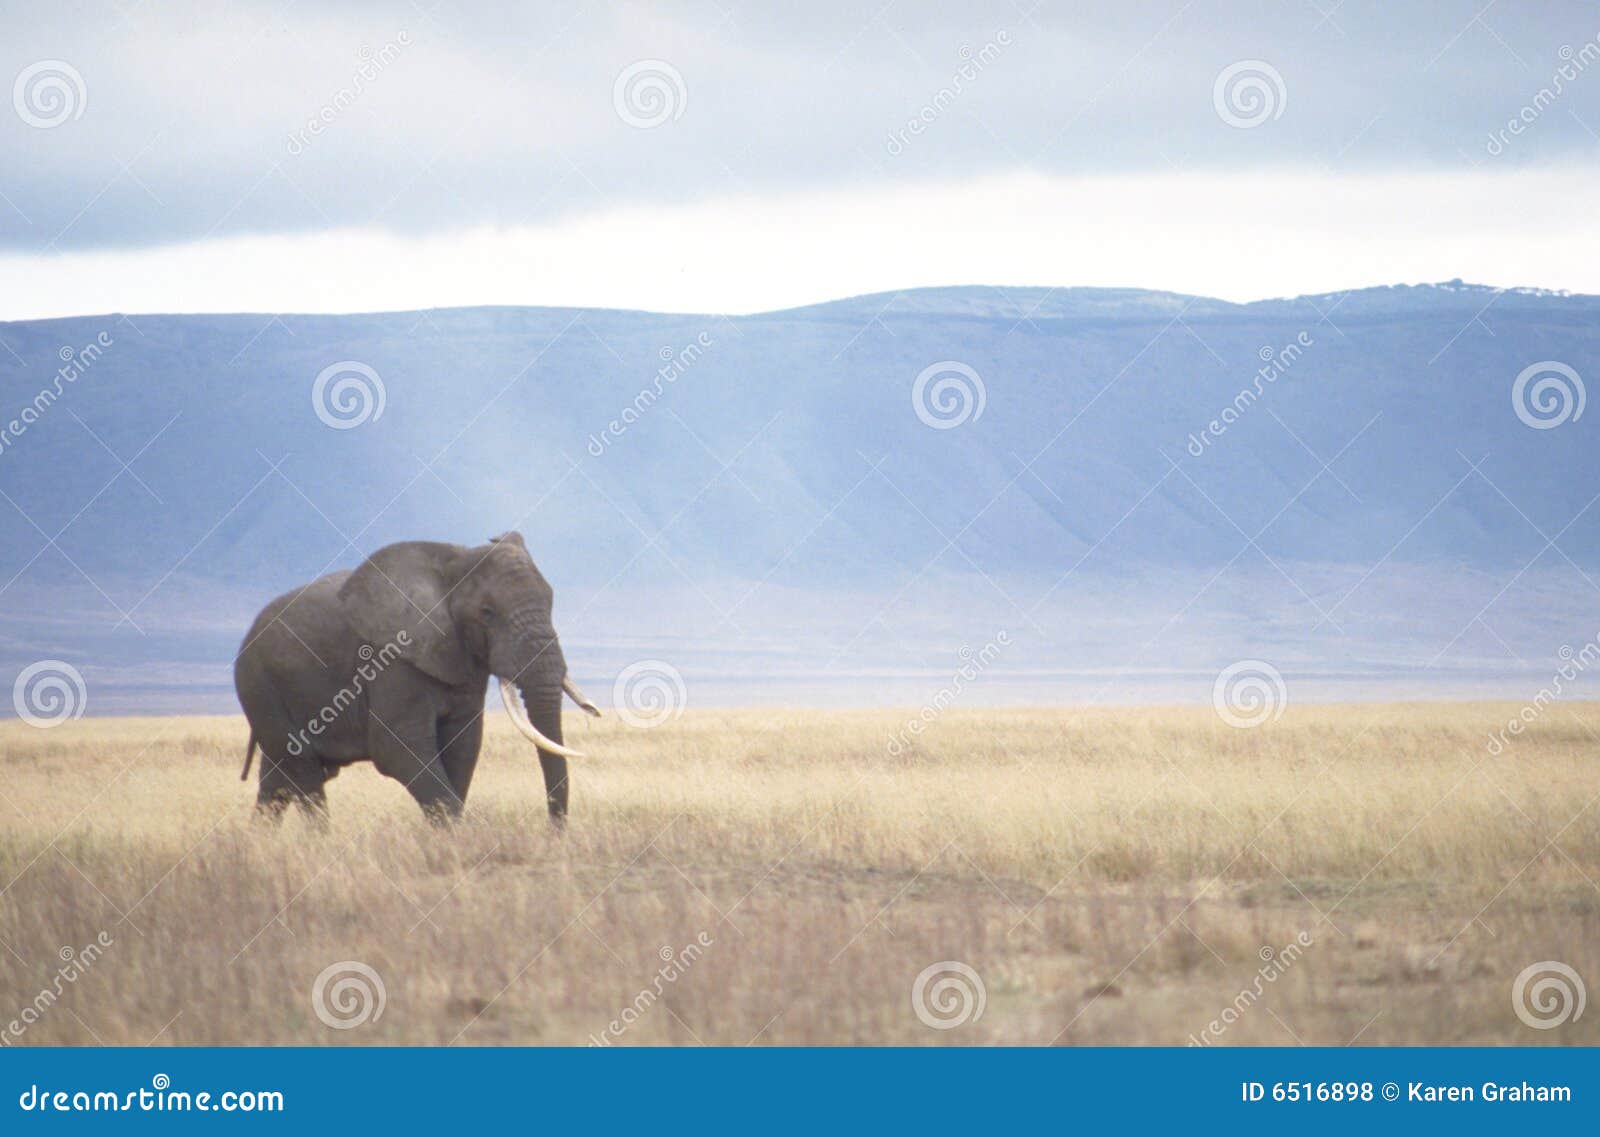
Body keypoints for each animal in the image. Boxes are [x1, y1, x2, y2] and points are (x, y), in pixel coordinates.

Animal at [228, 534, 598, 825]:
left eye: (552, 601)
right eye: (487, 613)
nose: (554, 837)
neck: (455, 560)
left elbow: (464, 745)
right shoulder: (390, 657)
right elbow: (398, 747)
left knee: (278, 779)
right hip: (258, 684)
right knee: (303, 771)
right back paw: (318, 845)